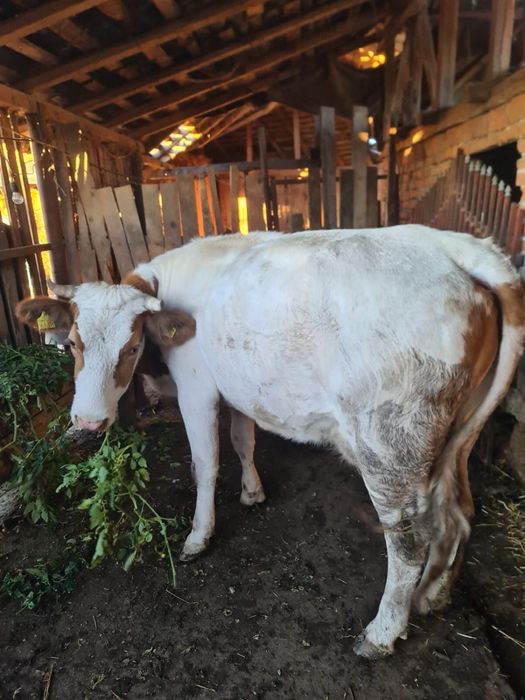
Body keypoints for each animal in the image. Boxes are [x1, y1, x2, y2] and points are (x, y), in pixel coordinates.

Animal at [16, 225, 525, 659]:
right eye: (74, 342)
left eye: (132, 346)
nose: (88, 420)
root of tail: (453, 244)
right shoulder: (239, 387)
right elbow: (243, 440)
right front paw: (252, 492)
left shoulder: (197, 386)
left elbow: (205, 463)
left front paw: (199, 535)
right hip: (458, 433)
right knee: (458, 511)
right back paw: (432, 595)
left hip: (389, 445)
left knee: (408, 539)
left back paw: (382, 632)